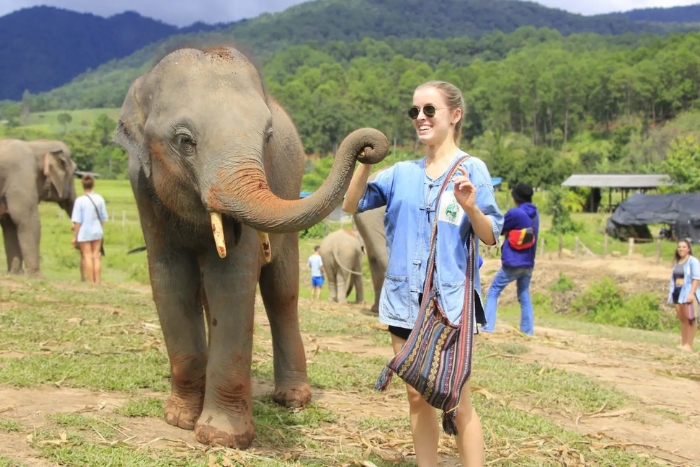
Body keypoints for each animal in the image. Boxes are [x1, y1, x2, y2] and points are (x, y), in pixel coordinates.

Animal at [0, 139, 77, 277]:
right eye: (74, 172)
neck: (35, 145)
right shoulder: (22, 178)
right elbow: (27, 220)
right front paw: (37, 277)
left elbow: (10, 223)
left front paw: (16, 274)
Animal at [111, 45, 389, 449]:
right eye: (184, 140)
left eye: (267, 136)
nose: (369, 146)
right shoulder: (142, 189)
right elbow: (169, 278)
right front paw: (179, 419)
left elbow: (233, 278)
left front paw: (219, 437)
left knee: (281, 293)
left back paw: (292, 399)